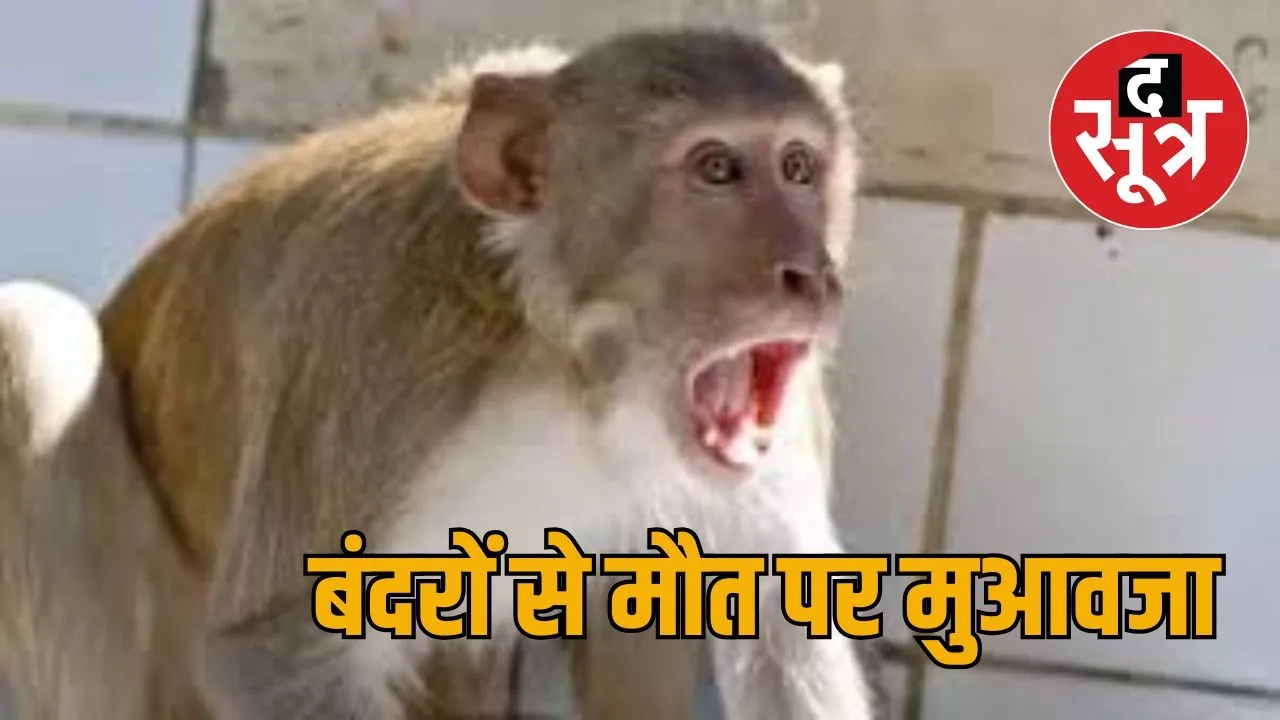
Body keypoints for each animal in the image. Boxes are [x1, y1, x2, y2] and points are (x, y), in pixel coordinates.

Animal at [0, 26, 869, 720]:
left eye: (799, 166)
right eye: (717, 169)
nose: (812, 273)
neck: (573, 365)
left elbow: (784, 634)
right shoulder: (372, 354)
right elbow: (276, 653)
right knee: (37, 333)